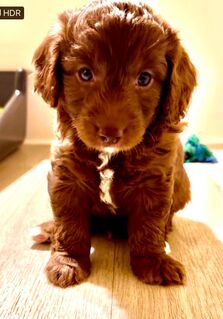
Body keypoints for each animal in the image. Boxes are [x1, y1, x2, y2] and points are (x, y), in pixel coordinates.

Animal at [32, 0, 195, 288]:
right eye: (85, 73)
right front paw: (67, 262)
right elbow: (69, 223)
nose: (110, 133)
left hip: (183, 188)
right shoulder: (67, 175)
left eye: (144, 79)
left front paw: (154, 261)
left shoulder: (154, 181)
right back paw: (47, 229)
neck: (109, 154)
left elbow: (149, 225)